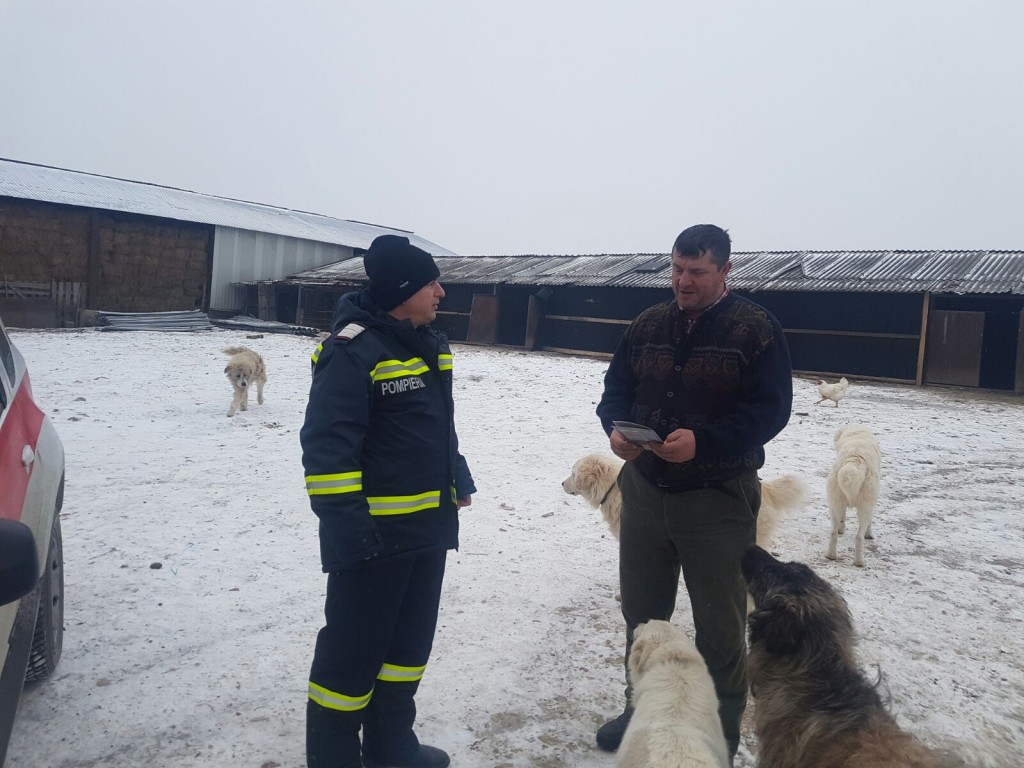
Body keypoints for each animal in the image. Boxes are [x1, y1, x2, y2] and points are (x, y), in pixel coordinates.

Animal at [826, 424, 881, 567]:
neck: (857, 433)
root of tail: (854, 463)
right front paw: (869, 534)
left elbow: (843, 517)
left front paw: (841, 529)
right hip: (865, 506)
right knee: (859, 536)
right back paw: (859, 561)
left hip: (834, 501)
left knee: (833, 532)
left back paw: (831, 555)